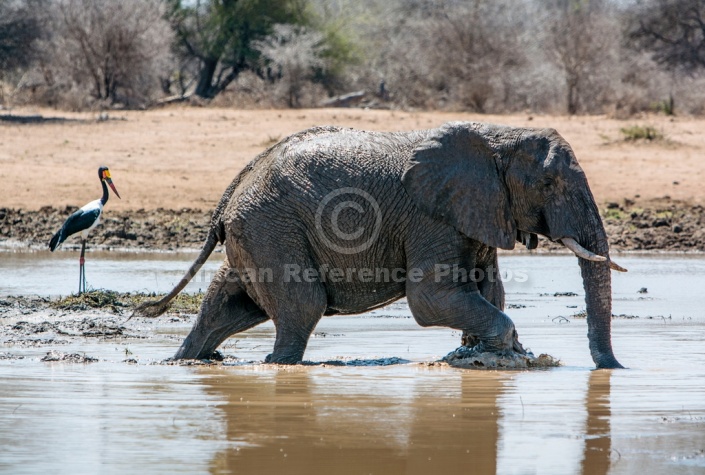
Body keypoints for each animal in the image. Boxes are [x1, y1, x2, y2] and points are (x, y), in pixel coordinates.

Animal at [133, 121, 628, 370]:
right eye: (547, 184)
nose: (614, 370)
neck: (496, 137)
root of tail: (232, 190)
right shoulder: (431, 215)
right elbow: (430, 299)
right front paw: (501, 351)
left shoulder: (476, 213)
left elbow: (491, 290)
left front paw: (483, 353)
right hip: (270, 226)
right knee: (301, 306)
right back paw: (279, 365)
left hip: (256, 230)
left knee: (231, 300)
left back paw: (185, 361)